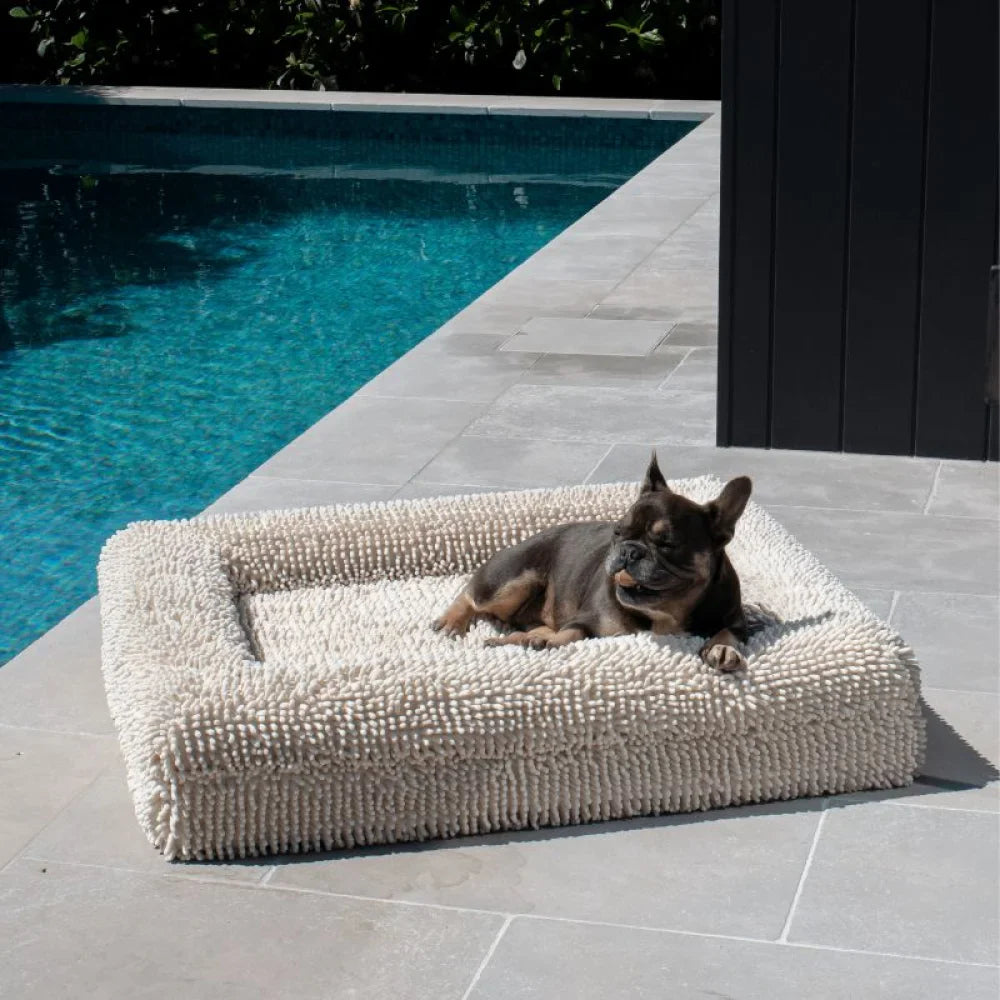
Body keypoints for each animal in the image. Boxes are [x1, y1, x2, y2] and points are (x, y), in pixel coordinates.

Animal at [432, 453, 752, 671]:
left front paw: (723, 648)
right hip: (511, 580)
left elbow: (730, 631)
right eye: (618, 532)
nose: (629, 550)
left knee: (528, 630)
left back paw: (517, 639)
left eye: (667, 544)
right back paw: (452, 622)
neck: (666, 616)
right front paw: (553, 642)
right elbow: (574, 632)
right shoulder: (586, 618)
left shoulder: (737, 618)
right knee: (471, 595)